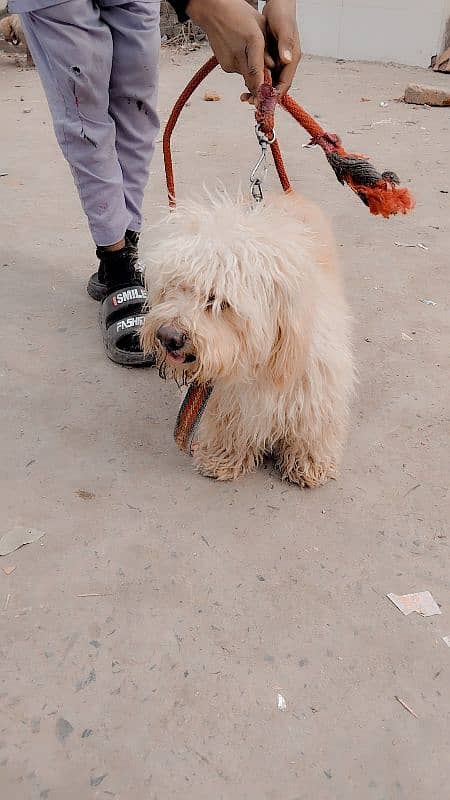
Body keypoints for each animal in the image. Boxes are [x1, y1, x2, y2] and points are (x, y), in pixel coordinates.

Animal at [142, 191, 354, 484]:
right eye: (175, 286)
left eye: (217, 301)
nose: (168, 336)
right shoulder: (223, 398)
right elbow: (228, 426)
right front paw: (223, 457)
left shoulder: (316, 384)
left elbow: (310, 428)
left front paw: (309, 463)